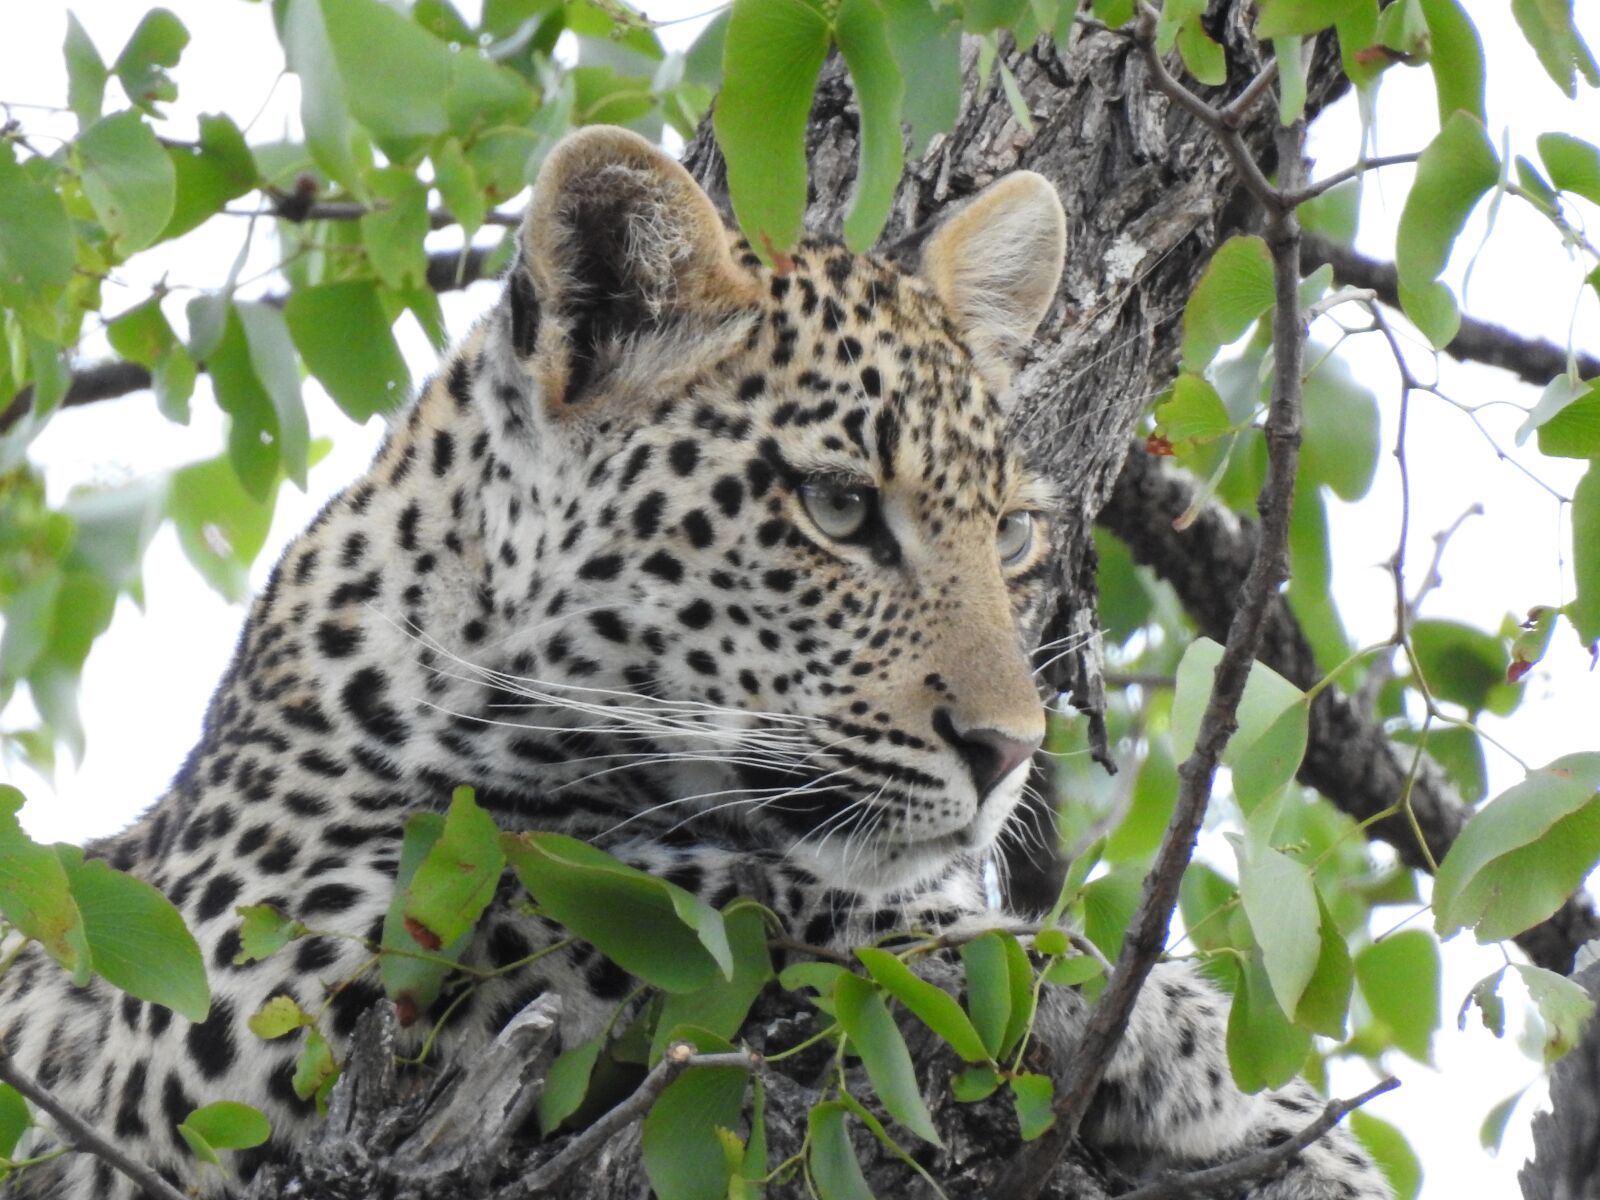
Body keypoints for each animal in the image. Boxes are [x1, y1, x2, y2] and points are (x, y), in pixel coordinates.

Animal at [0, 126, 1393, 1200]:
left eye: (1009, 534)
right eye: (837, 509)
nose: (1008, 753)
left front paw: (1290, 1128)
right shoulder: (220, 1016)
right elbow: (678, 892)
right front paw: (1169, 1037)